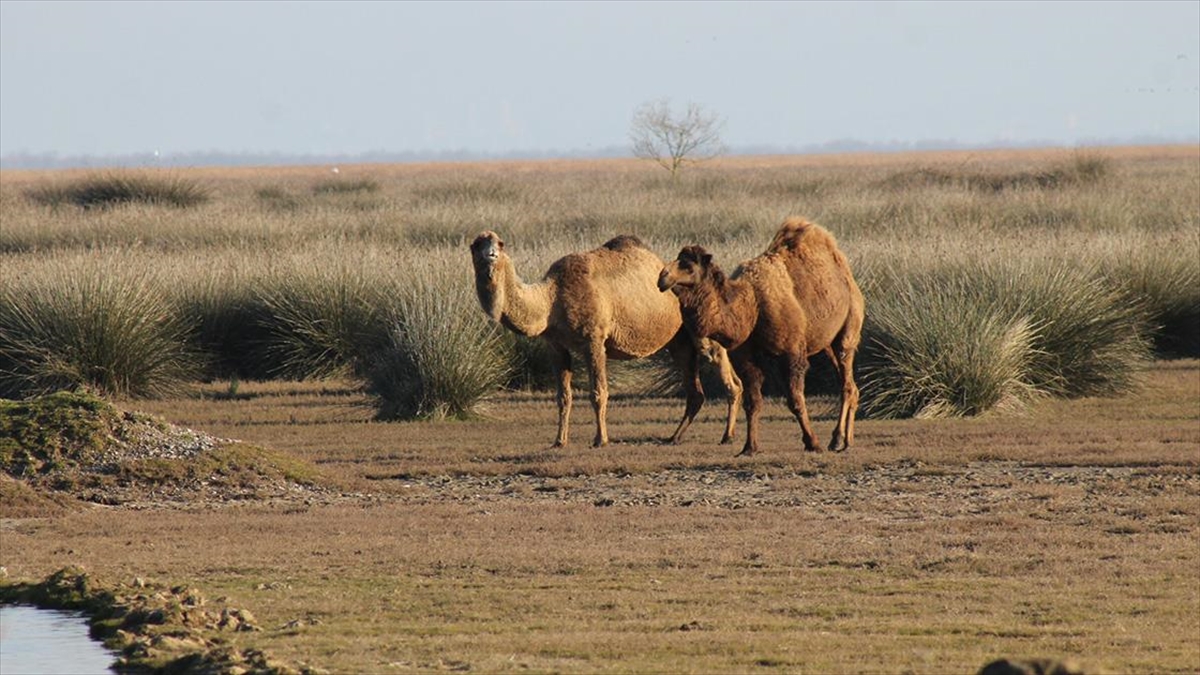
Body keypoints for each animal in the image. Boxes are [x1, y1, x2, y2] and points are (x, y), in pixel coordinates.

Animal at [468, 230, 739, 446]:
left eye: (500, 244)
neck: (552, 299)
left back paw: (727, 436)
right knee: (695, 391)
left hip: (703, 330)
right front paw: (559, 441)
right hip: (679, 342)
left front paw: (601, 440)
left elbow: (598, 392)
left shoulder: (594, 339)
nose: (490, 255)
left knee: (728, 376)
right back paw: (674, 437)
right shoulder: (555, 345)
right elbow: (563, 396)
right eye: (476, 244)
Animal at [657, 218, 864, 454]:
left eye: (689, 267)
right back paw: (847, 439)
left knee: (846, 382)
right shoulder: (745, 356)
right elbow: (752, 401)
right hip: (826, 344)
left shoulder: (792, 352)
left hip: (849, 329)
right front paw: (749, 447)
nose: (662, 276)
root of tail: (848, 276)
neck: (751, 306)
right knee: (851, 385)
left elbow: (795, 400)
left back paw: (837, 439)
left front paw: (812, 443)